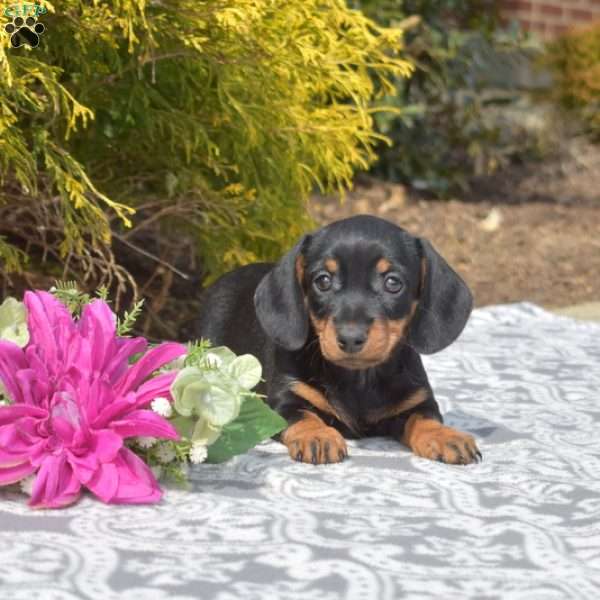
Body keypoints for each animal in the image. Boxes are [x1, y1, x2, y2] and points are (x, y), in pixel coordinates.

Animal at [199, 213, 480, 466]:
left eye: (393, 282)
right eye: (323, 280)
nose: (351, 338)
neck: (359, 379)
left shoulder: (417, 403)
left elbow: (424, 419)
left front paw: (446, 437)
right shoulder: (284, 403)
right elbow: (305, 416)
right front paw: (318, 436)